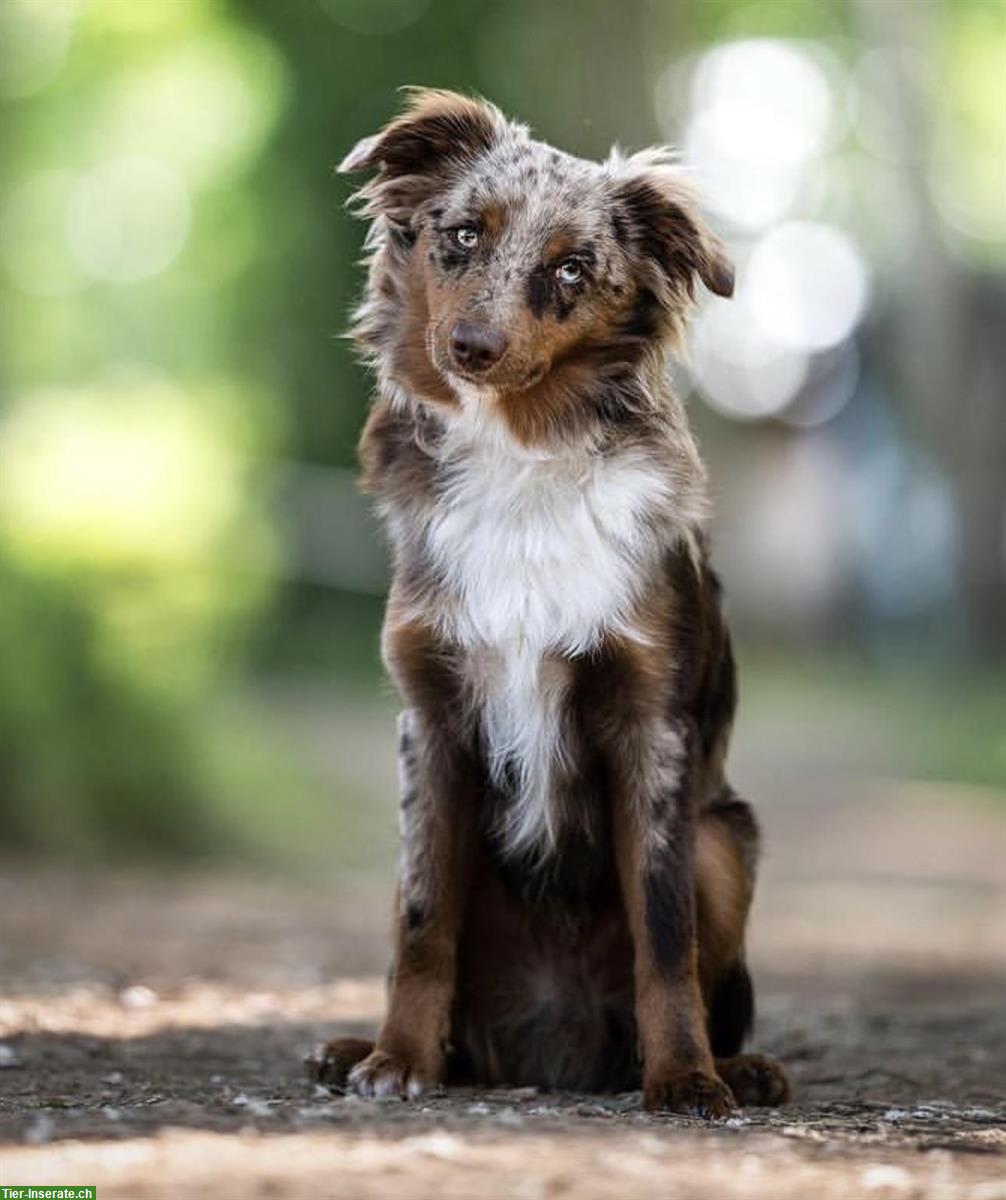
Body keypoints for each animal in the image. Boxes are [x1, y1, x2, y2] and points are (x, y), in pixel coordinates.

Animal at [312, 87, 792, 1113]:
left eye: (572, 267)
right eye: (462, 235)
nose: (472, 348)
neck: (520, 456)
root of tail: (551, 1048)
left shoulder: (650, 725)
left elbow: (664, 931)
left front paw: (685, 1076)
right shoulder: (432, 722)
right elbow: (424, 925)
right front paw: (397, 1059)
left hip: (724, 837)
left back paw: (739, 1066)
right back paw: (372, 1049)